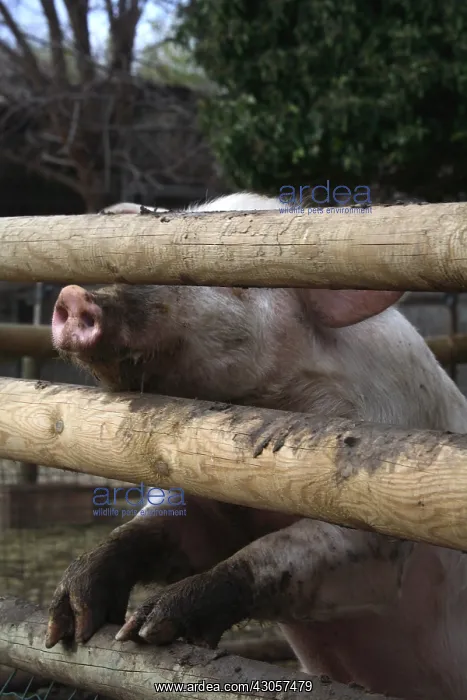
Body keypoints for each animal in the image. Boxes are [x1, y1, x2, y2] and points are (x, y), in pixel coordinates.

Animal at [47, 192, 467, 700]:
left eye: (237, 284)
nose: (75, 296)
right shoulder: (205, 505)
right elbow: (142, 534)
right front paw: (70, 624)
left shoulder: (387, 516)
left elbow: (274, 554)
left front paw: (145, 628)